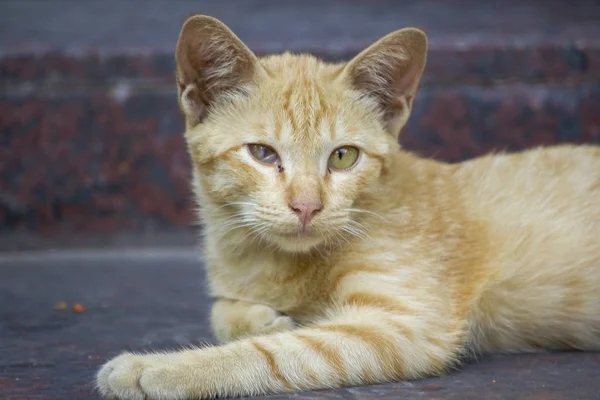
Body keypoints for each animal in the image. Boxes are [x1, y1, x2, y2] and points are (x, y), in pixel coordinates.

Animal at [97, 14, 600, 398]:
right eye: (262, 153)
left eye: (343, 157)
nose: (306, 206)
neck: (273, 263)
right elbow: (223, 311)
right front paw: (263, 320)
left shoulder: (402, 325)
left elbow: (280, 354)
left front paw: (156, 370)